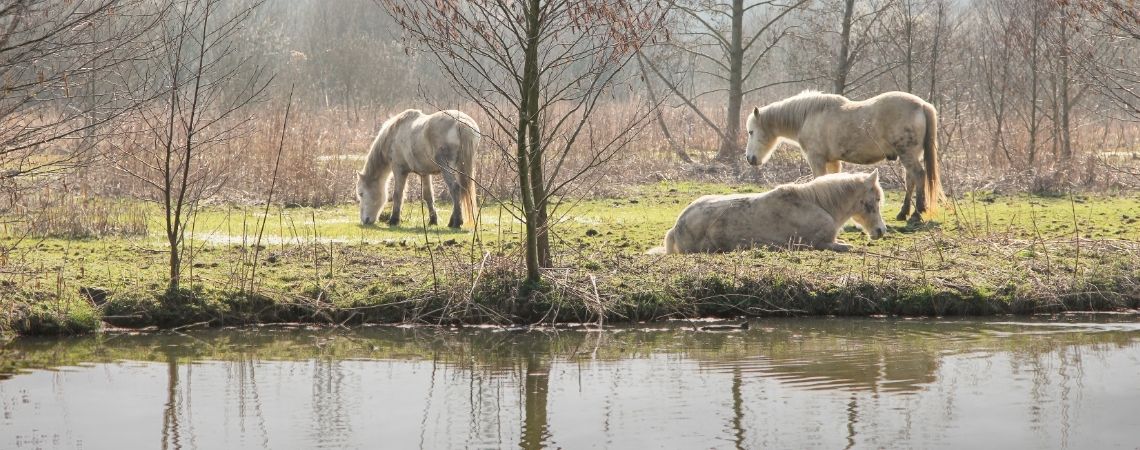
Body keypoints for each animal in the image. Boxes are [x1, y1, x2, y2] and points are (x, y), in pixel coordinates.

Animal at [653, 171, 887, 254]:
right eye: (875, 200)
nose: (881, 231)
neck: (819, 205)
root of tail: (676, 226)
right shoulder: (819, 243)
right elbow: (845, 247)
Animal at [744, 90, 942, 223]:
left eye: (751, 132)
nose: (750, 159)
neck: (809, 116)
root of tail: (922, 105)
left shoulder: (817, 159)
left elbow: (820, 180)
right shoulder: (833, 161)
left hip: (907, 154)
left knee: (919, 175)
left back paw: (917, 213)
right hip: (909, 155)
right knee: (911, 179)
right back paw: (903, 213)